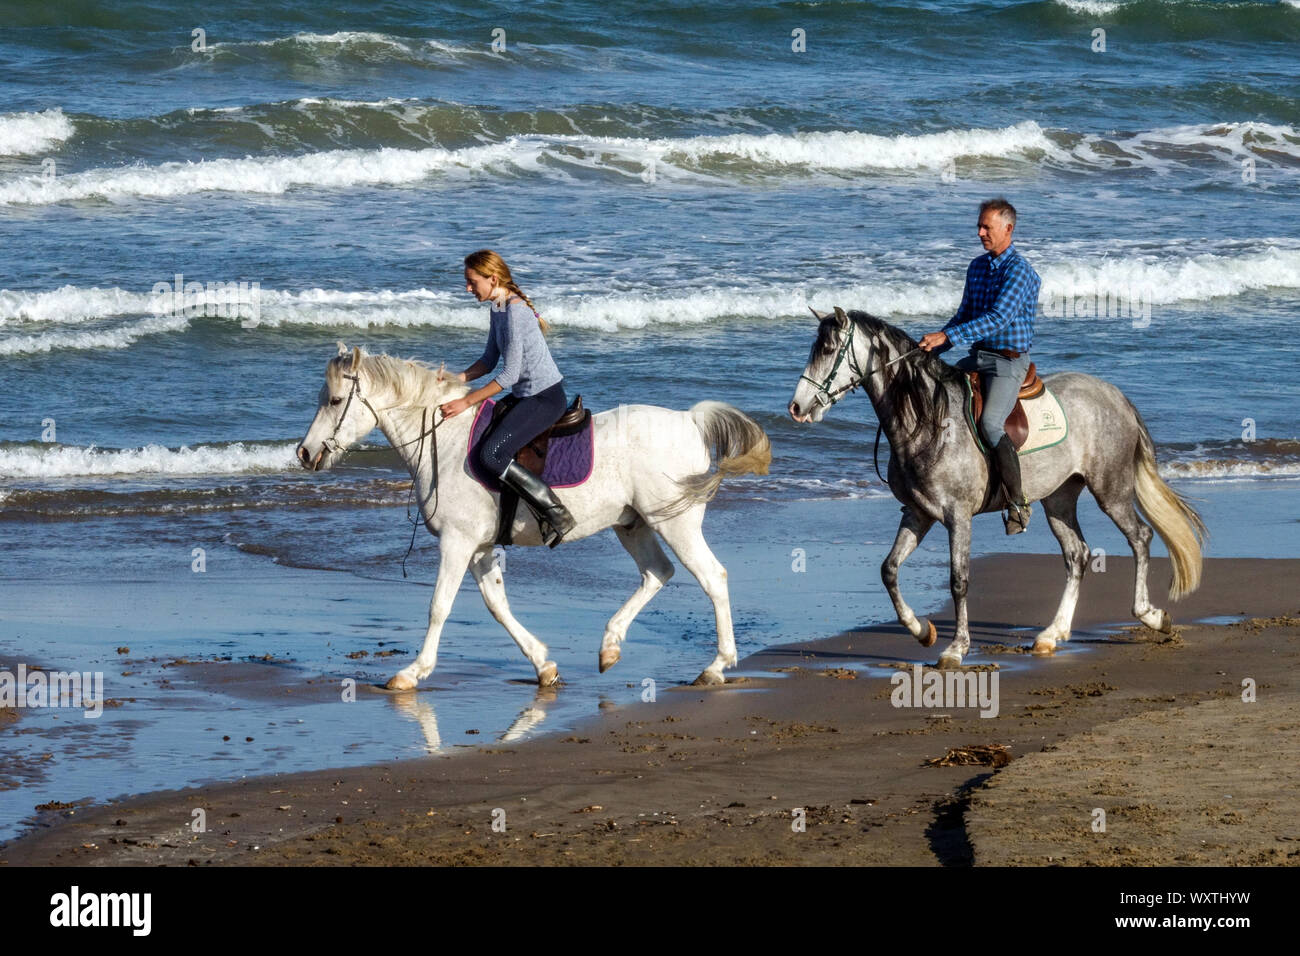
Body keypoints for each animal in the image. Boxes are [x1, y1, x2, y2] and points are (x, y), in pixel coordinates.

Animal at [295, 343, 769, 686]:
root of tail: (690, 421)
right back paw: (610, 646)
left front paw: (412, 673)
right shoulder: (480, 547)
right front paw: (543, 665)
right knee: (657, 572)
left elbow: (439, 606)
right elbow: (497, 605)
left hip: (675, 522)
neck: (445, 439)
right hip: (632, 524)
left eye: (335, 400)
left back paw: (716, 665)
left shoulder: (458, 542)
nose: (305, 453)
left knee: (712, 577)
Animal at [785, 308, 1201, 665]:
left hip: (1110, 490)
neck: (927, 421)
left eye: (827, 350)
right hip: (1059, 498)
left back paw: (1150, 616)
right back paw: (1052, 634)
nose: (796, 408)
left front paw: (956, 648)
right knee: (1077, 554)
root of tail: (1115, 395)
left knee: (1140, 538)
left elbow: (959, 580)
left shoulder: (958, 516)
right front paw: (923, 632)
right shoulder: (918, 513)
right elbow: (889, 570)